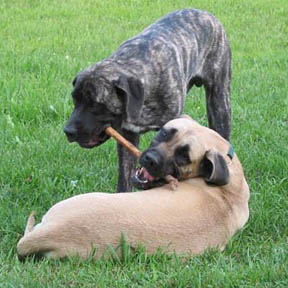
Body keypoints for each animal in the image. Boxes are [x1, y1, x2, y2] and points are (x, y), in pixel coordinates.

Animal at [63, 9, 232, 192]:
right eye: (74, 99)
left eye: (95, 104)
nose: (68, 131)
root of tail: (205, 13)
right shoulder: (127, 137)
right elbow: (124, 177)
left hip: (219, 103)